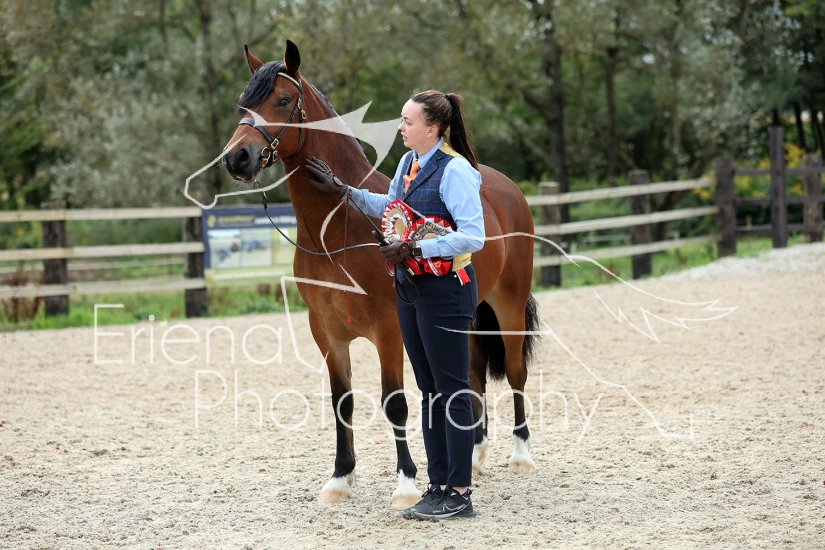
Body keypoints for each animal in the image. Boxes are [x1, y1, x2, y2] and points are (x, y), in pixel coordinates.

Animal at [221, 40, 541, 509]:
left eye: (281, 100)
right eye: (243, 102)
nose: (236, 158)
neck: (338, 230)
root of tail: (506, 188)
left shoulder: (390, 329)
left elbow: (395, 403)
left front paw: (406, 484)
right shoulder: (326, 332)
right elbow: (342, 402)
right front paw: (340, 478)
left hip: (509, 304)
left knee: (515, 372)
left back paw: (520, 455)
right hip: (466, 314)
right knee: (471, 374)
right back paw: (475, 456)